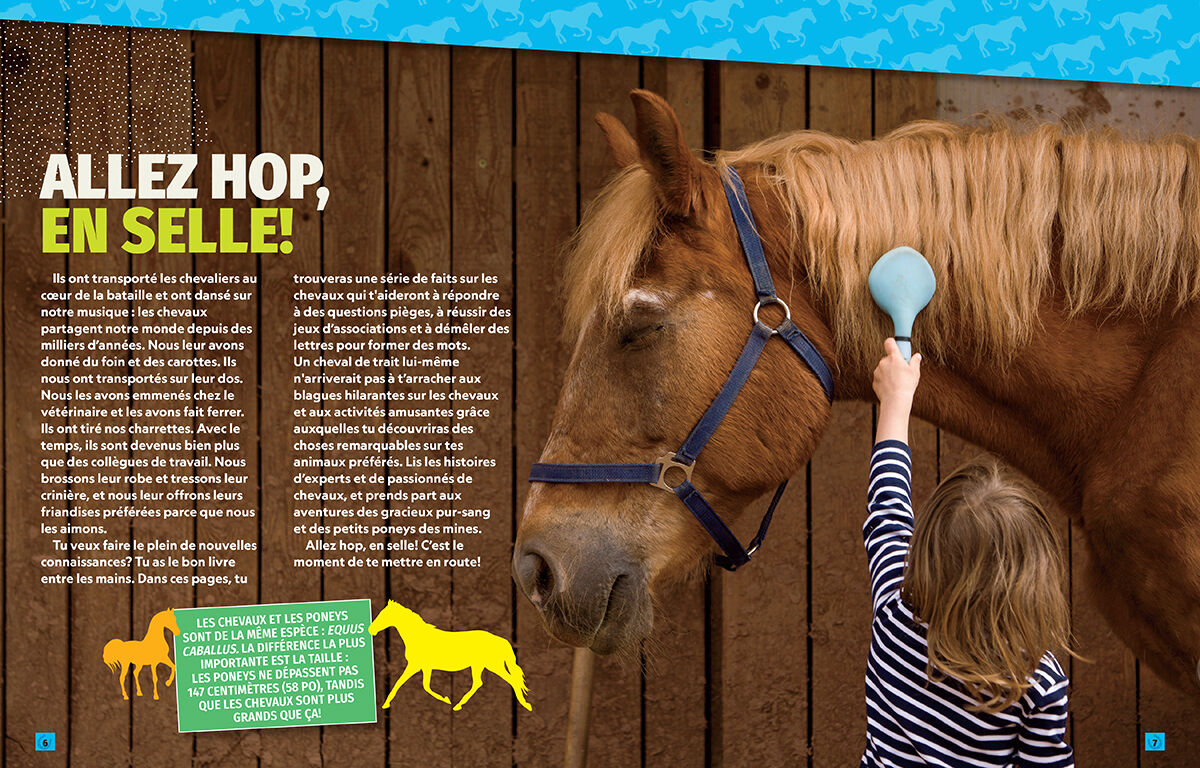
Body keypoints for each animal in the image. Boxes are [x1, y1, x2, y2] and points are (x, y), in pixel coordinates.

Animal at [368, 600, 532, 711]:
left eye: (383, 615)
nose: (371, 630)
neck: (418, 637)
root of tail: (501, 640)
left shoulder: (417, 666)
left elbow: (410, 684)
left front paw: (446, 699)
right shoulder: (423, 667)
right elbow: (418, 685)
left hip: (493, 665)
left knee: (512, 680)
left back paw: (526, 705)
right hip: (478, 666)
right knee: (478, 683)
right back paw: (458, 705)